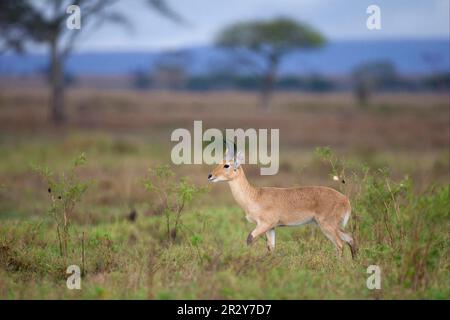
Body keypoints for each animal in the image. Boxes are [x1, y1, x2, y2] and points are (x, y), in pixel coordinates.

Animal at [208, 149, 358, 258]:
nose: (210, 176)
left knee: (340, 244)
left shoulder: (264, 224)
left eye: (226, 165)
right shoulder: (271, 228)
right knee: (350, 239)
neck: (255, 196)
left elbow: (249, 238)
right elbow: (271, 247)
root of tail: (345, 200)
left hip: (327, 226)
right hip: (333, 226)